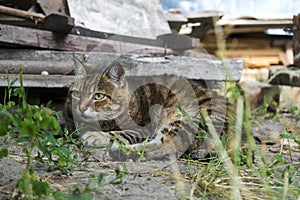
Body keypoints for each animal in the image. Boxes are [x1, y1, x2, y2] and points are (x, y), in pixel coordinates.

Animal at [63, 60, 227, 160]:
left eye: (98, 96)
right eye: (77, 94)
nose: (81, 108)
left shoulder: (142, 128)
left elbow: (118, 133)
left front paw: (94, 136)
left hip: (185, 117)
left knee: (170, 146)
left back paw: (121, 151)